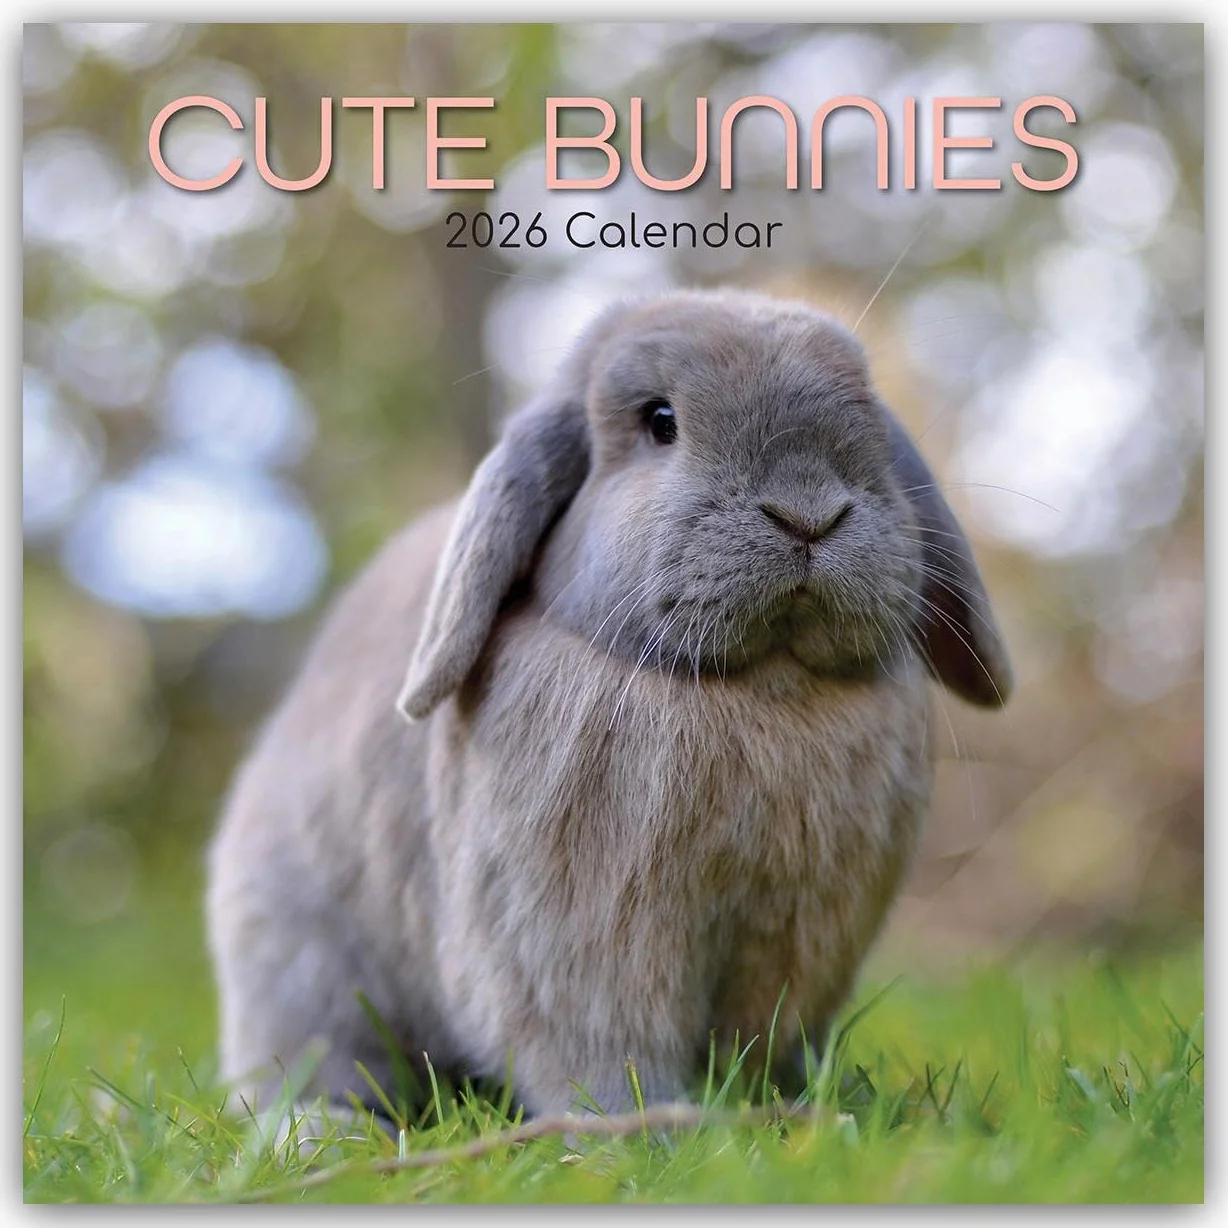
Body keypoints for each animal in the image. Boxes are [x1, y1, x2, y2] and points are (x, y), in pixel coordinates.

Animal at [205, 288, 1012, 1123]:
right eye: (659, 420)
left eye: (869, 413)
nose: (808, 512)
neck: (763, 689)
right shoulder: (580, 938)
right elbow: (601, 1045)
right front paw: (654, 1125)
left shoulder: (799, 942)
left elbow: (767, 1037)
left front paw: (787, 1104)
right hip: (300, 959)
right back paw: (318, 1128)